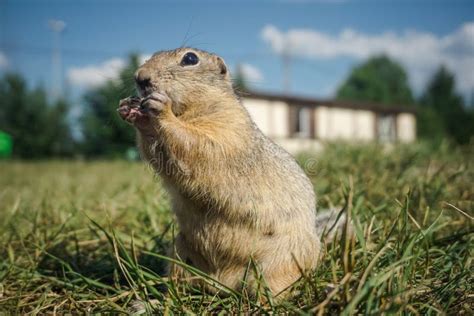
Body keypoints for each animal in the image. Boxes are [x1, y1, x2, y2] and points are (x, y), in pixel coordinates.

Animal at [117, 47, 322, 296]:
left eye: (190, 58)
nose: (140, 77)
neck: (186, 111)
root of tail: (224, 284)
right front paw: (131, 111)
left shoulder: (228, 126)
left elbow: (196, 143)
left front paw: (160, 110)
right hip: (179, 253)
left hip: (280, 262)